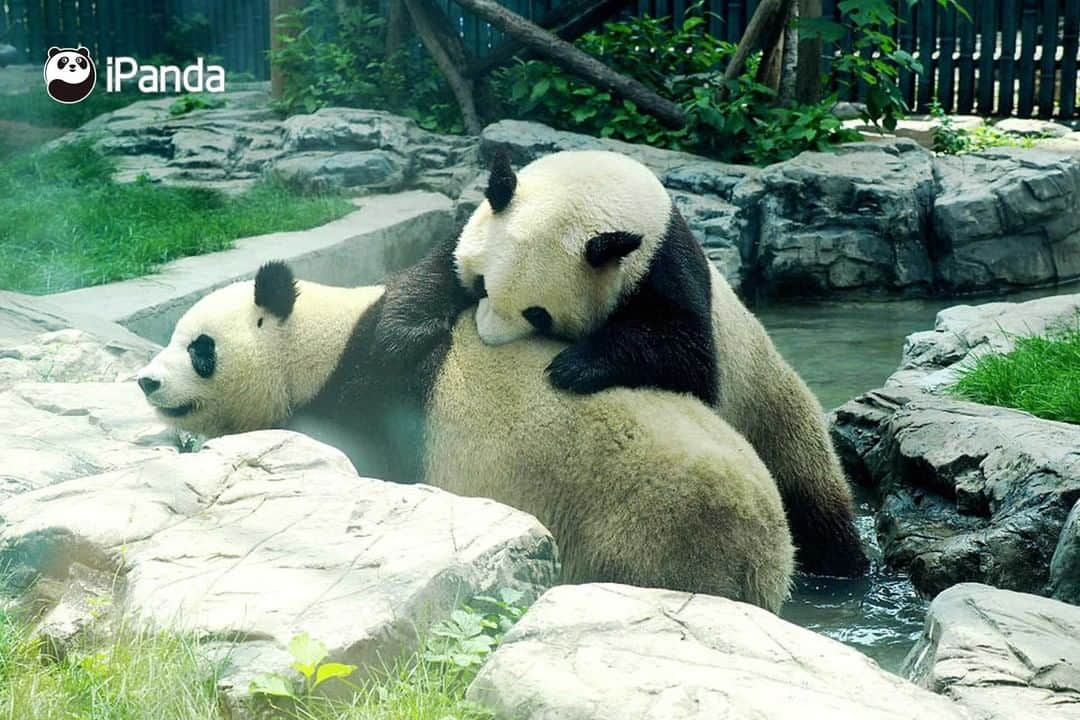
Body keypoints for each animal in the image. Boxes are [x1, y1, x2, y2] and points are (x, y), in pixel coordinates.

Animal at [137, 243, 794, 613]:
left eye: (200, 349)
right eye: (174, 338)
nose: (146, 381)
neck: (316, 341)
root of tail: (767, 554)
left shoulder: (372, 392)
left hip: (643, 522)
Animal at [453, 151, 868, 578]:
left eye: (537, 314)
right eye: (482, 283)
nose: (488, 336)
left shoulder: (667, 268)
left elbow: (688, 356)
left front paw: (574, 365)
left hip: (773, 412)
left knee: (814, 498)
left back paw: (843, 565)